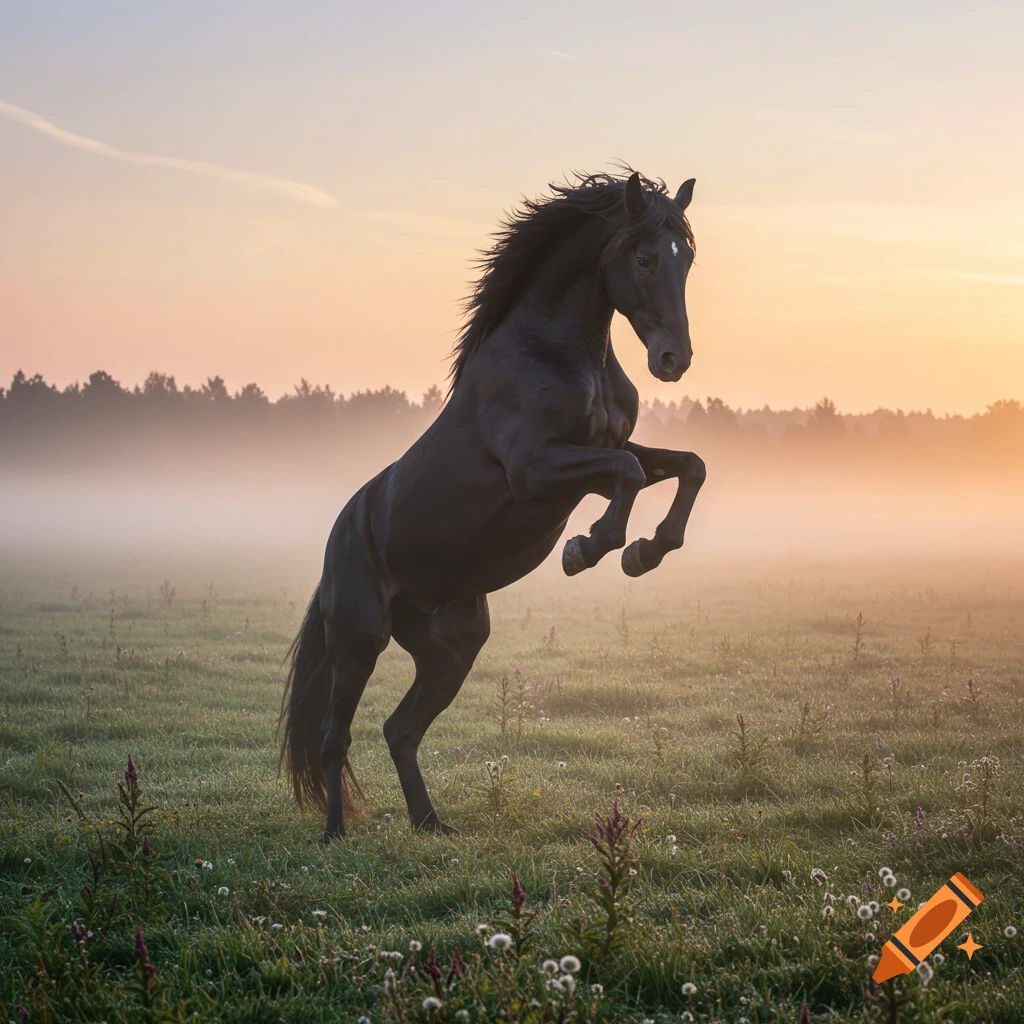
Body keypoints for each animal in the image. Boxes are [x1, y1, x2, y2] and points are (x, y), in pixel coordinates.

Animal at [281, 168, 707, 841]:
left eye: (686, 258)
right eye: (643, 259)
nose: (674, 359)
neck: (556, 353)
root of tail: (338, 543)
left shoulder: (597, 455)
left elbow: (684, 465)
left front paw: (646, 551)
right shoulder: (536, 470)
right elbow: (632, 474)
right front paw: (587, 549)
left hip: (451, 648)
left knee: (399, 730)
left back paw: (432, 825)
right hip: (357, 642)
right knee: (334, 735)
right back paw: (334, 835)